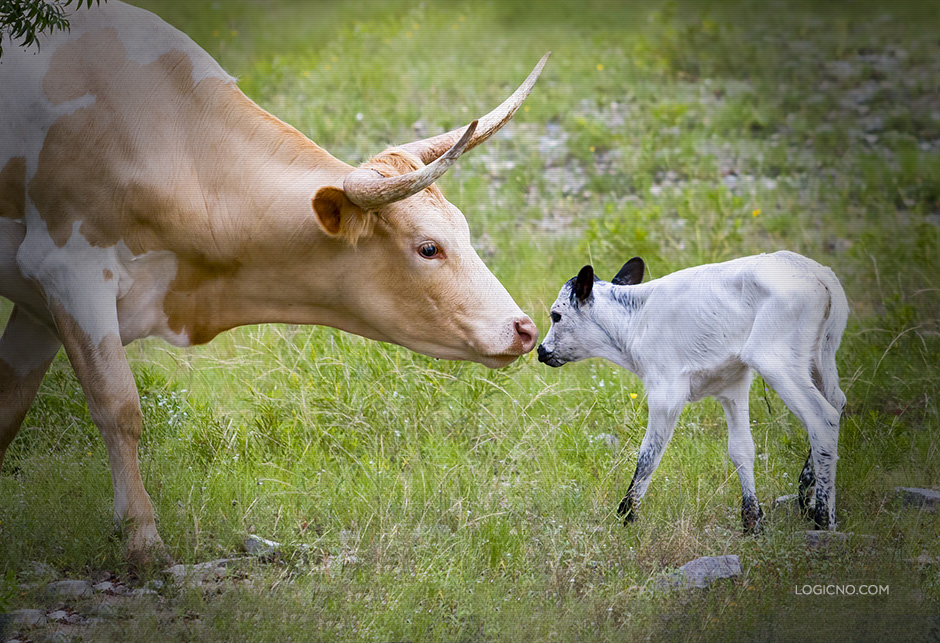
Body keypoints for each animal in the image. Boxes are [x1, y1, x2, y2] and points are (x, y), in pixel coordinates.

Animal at [0, 1, 546, 562]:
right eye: (428, 247)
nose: (525, 328)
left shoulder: (40, 310)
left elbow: (9, 407)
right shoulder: (69, 273)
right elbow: (119, 406)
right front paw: (142, 538)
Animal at [537, 251, 848, 533]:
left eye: (556, 315)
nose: (541, 350)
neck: (633, 324)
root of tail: (816, 273)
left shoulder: (666, 392)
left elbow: (649, 454)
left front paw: (626, 517)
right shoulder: (732, 385)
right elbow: (741, 449)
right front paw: (751, 523)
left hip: (773, 358)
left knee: (822, 419)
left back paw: (824, 520)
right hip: (821, 357)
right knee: (838, 402)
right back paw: (807, 496)